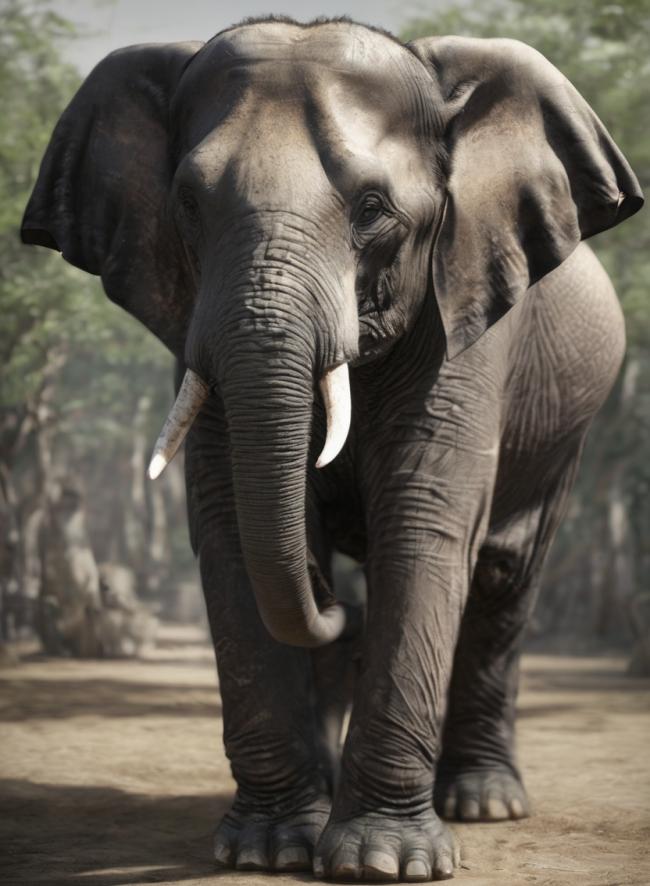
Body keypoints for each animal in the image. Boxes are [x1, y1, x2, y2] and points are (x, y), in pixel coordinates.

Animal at [21, 16, 643, 882]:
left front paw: (381, 860)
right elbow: (226, 524)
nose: (331, 602)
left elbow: (422, 520)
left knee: (502, 577)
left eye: (374, 208)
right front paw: (269, 849)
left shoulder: (464, 310)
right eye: (188, 202)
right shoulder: (196, 326)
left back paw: (482, 803)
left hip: (566, 429)